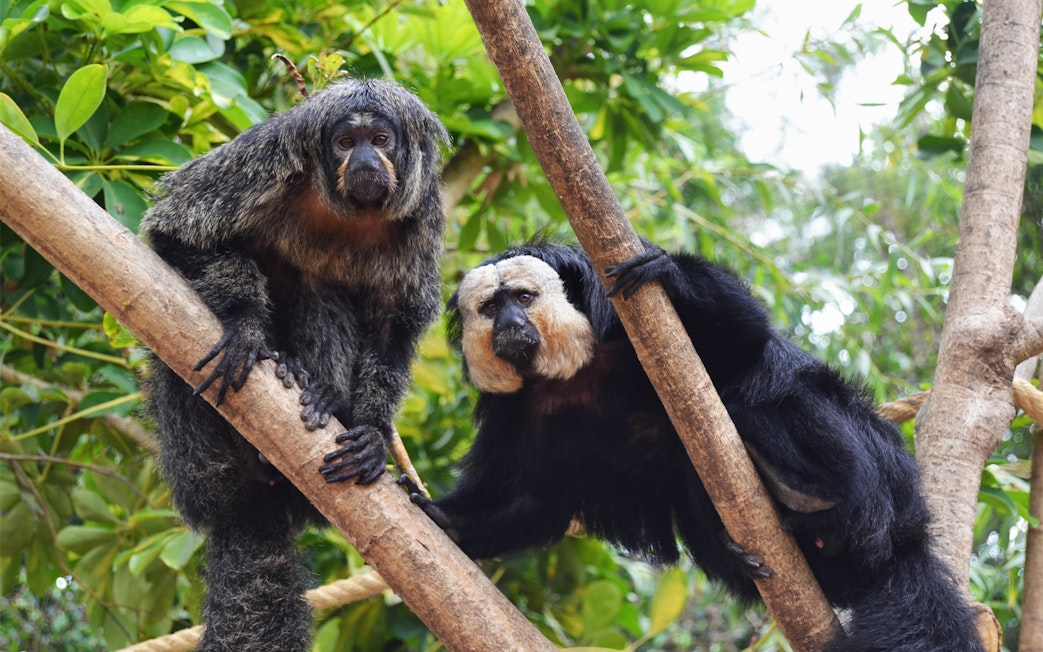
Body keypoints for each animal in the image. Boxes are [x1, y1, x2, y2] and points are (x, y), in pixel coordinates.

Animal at [140, 79, 448, 652]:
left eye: (380, 139)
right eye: (346, 142)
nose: (365, 160)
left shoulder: (423, 213)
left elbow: (395, 325)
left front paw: (372, 431)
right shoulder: (266, 159)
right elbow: (176, 233)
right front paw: (244, 323)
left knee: (320, 288)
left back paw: (320, 390)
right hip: (195, 465)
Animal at [405, 240, 985, 651]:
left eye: (523, 298)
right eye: (490, 306)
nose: (509, 324)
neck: (576, 372)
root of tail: (906, 539)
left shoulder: (626, 325)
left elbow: (741, 344)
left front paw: (669, 273)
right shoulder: (515, 411)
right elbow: (531, 497)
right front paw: (446, 520)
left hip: (883, 473)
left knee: (765, 398)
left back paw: (808, 492)